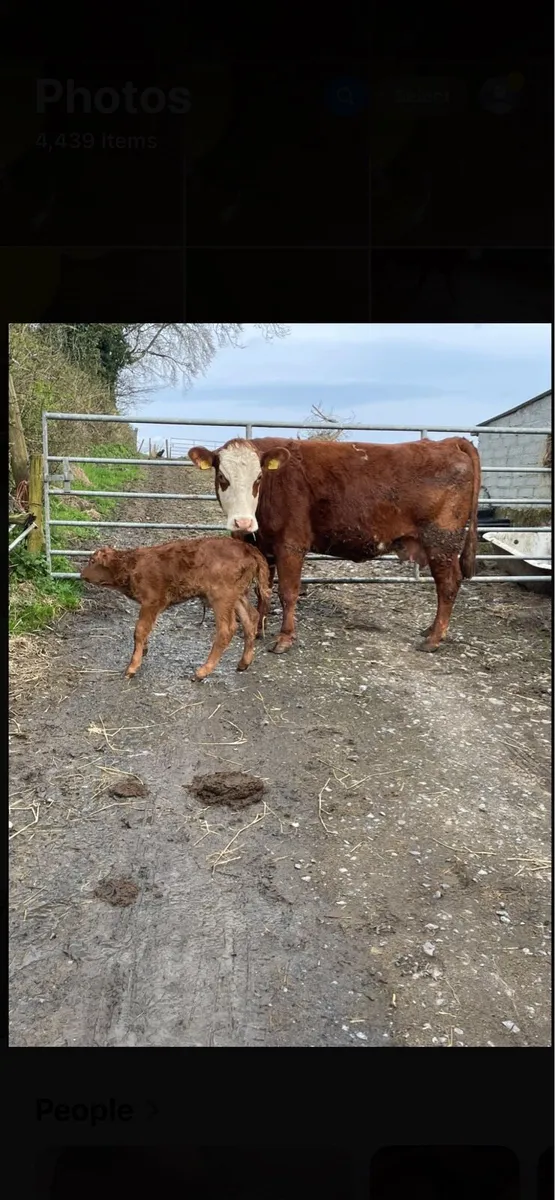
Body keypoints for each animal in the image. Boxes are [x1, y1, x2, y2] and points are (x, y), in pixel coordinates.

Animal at [79, 536, 271, 680]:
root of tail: (248, 548)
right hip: (236, 597)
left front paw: (132, 668)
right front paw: (144, 650)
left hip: (221, 598)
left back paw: (201, 672)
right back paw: (243, 663)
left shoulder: (152, 601)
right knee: (251, 618)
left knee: (227, 629)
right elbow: (144, 629)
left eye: (92, 560)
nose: (81, 575)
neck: (132, 565)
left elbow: (139, 630)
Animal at [189, 435, 481, 654]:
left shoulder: (291, 545)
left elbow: (288, 593)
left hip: (442, 542)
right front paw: (258, 627)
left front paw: (284, 638)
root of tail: (447, 442)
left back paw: (433, 639)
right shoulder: (263, 547)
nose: (243, 522)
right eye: (222, 477)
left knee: (448, 585)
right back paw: (430, 630)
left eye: (258, 479)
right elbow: (264, 591)